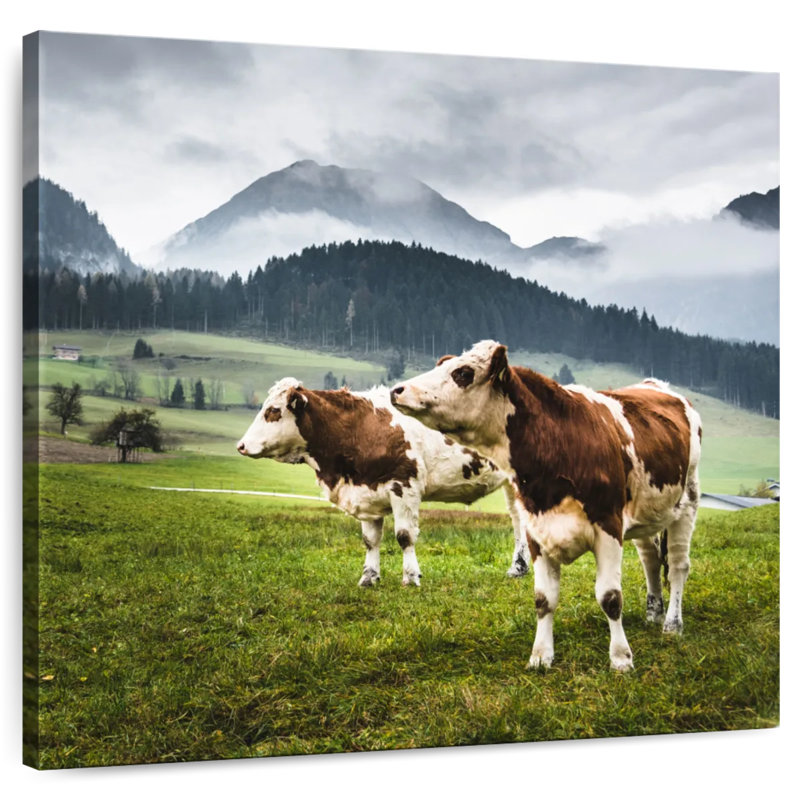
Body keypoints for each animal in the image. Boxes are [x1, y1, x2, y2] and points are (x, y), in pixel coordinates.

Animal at [236, 377, 528, 587]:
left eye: (273, 411)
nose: (240, 445)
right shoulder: (366, 493)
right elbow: (370, 540)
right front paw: (369, 577)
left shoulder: (404, 486)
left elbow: (404, 536)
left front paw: (411, 577)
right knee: (519, 521)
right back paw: (519, 567)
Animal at [390, 340, 702, 672]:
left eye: (463, 372)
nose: (398, 390)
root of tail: (657, 386)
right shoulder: (536, 530)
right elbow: (544, 599)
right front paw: (541, 656)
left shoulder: (609, 526)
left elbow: (610, 597)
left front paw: (620, 658)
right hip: (647, 512)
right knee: (651, 560)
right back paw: (653, 612)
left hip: (687, 504)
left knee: (678, 567)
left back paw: (672, 623)